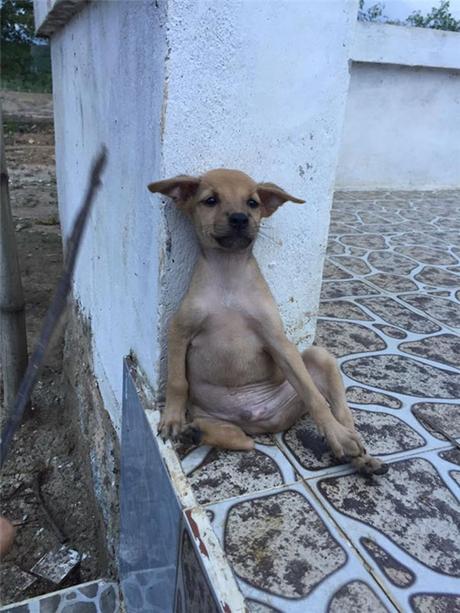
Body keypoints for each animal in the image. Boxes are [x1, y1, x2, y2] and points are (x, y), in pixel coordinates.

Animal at [149, 170, 386, 476]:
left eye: (252, 202)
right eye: (210, 200)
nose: (240, 218)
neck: (229, 276)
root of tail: (257, 420)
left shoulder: (277, 340)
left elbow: (314, 396)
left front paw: (338, 437)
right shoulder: (179, 330)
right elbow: (177, 382)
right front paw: (172, 419)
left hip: (318, 357)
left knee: (340, 412)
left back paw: (357, 451)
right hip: (211, 415)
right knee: (242, 440)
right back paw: (196, 432)